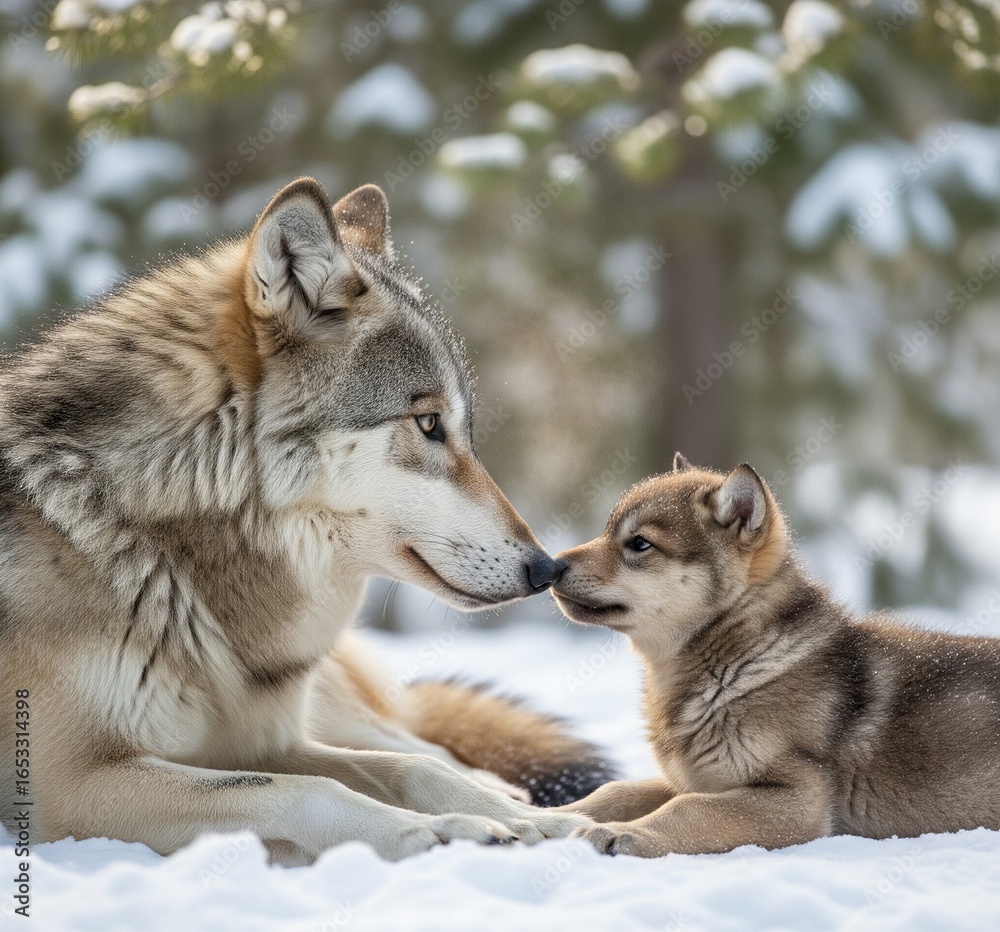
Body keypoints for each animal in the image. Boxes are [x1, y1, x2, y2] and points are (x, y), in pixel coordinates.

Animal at [0, 177, 606, 864]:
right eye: (428, 423)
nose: (547, 568)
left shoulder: (269, 740)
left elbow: (410, 769)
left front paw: (521, 821)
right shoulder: (71, 785)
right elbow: (308, 790)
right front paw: (435, 832)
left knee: (423, 744)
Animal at [551, 454, 1000, 857]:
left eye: (640, 543)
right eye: (606, 530)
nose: (551, 566)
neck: (737, 664)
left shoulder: (798, 797)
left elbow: (686, 807)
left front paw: (618, 833)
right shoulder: (697, 778)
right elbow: (616, 790)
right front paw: (551, 817)